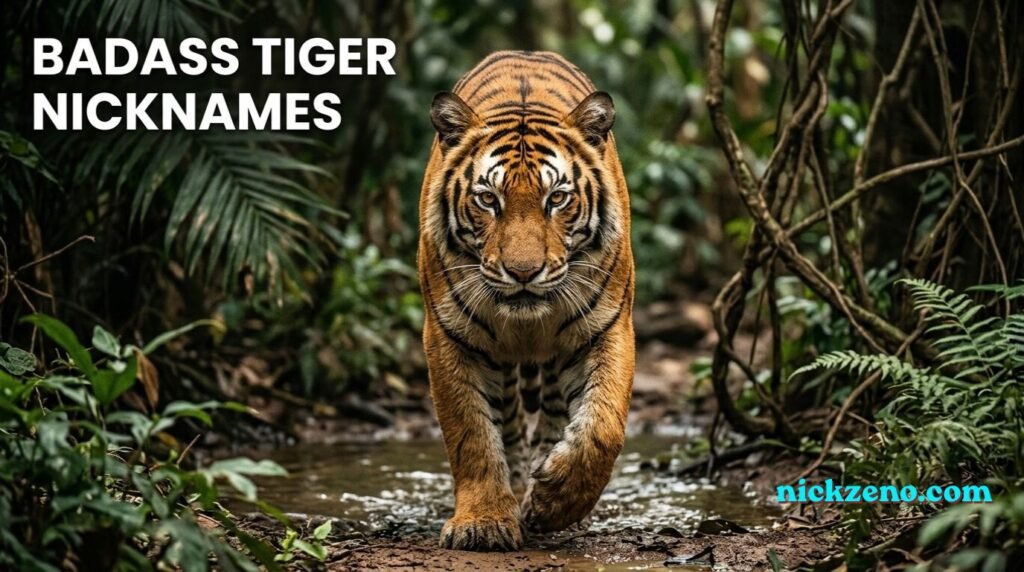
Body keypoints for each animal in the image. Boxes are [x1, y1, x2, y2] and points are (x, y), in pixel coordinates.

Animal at [417, 50, 635, 551]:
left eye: (556, 198)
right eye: (487, 199)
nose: (522, 272)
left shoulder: (608, 326)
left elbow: (603, 426)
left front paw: (555, 503)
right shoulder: (449, 335)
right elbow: (472, 434)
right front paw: (484, 522)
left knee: (556, 412)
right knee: (511, 418)